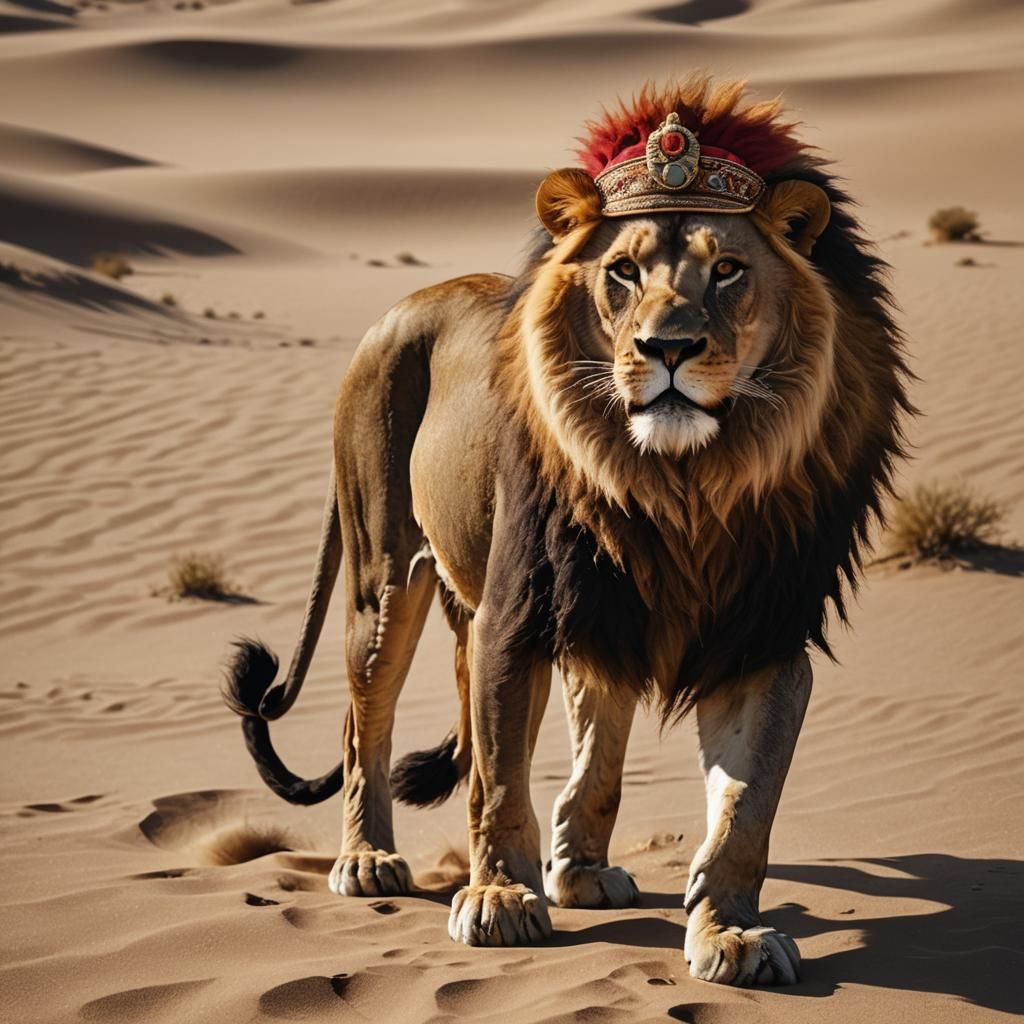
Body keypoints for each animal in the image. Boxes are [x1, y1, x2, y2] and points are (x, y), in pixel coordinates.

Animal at [221, 75, 911, 986]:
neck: (681, 487)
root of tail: (409, 303)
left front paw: (728, 933)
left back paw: (580, 869)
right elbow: (500, 781)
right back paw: (368, 859)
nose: (668, 348)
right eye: (622, 272)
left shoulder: (757, 637)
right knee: (367, 723)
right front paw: (499, 901)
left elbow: (744, 810)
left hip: (581, 609)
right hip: (387, 577)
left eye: (727, 270)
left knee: (592, 738)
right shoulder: (515, 617)